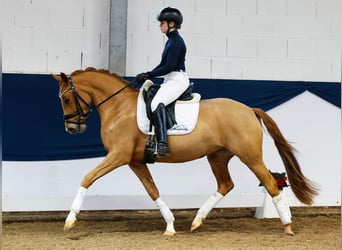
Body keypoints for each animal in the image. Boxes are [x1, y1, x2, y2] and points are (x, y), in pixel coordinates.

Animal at [52, 67, 316, 235]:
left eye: (66, 99)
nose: (72, 129)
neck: (118, 107)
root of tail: (249, 109)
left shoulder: (118, 155)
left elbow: (87, 178)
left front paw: (70, 220)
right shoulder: (135, 161)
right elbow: (152, 190)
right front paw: (170, 226)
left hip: (249, 156)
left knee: (270, 183)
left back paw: (287, 226)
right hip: (217, 156)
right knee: (225, 184)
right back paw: (197, 221)